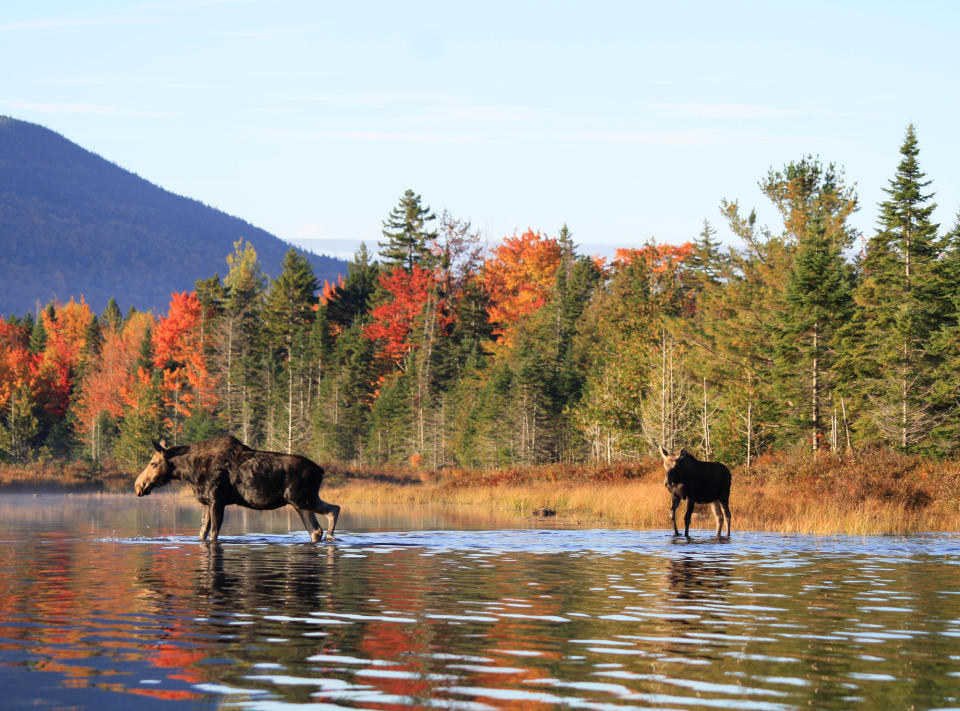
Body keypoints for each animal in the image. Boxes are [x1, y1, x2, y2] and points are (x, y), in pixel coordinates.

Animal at [135, 434, 342, 544]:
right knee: (316, 529)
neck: (190, 472)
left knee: (334, 509)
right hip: (302, 503)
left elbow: (213, 533)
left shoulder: (217, 500)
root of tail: (321, 471)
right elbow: (202, 533)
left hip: (302, 499)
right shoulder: (206, 502)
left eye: (153, 463)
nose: (139, 485)